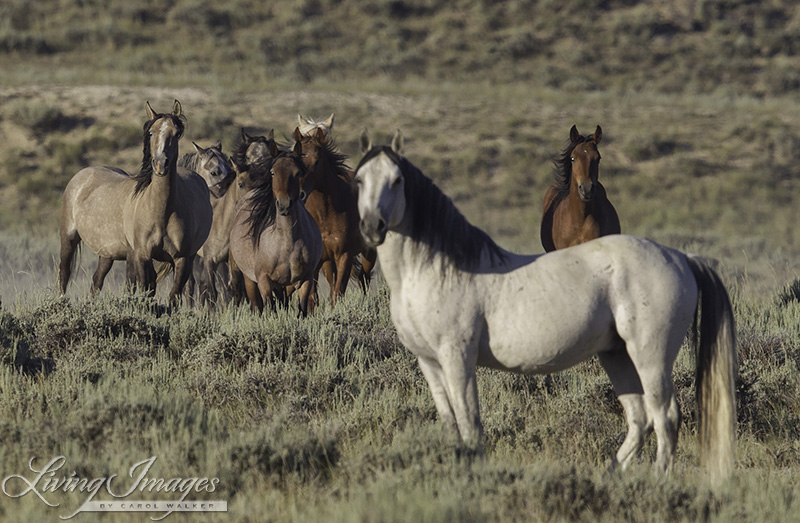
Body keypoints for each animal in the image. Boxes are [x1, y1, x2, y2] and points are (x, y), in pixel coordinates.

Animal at [58, 100, 212, 302]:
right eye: (151, 132)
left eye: (177, 134)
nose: (160, 164)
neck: (160, 211)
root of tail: (82, 175)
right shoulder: (141, 256)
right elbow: (143, 289)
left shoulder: (182, 259)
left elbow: (172, 296)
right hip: (68, 239)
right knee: (64, 275)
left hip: (107, 253)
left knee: (96, 281)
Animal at [228, 139, 322, 318]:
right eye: (272, 172)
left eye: (298, 173)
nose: (284, 205)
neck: (286, 243)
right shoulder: (264, 281)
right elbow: (269, 309)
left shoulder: (305, 280)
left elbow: (302, 310)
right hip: (249, 280)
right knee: (256, 306)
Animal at [296, 128, 378, 308]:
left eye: (317, 161)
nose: (300, 193)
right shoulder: (317, 262)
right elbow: (313, 298)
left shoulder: (344, 256)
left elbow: (338, 293)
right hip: (328, 262)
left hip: (369, 252)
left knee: (363, 279)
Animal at [356, 130, 736, 484]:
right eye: (359, 179)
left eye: (397, 180)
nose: (372, 227)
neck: (435, 269)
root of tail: (680, 258)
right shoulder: (430, 362)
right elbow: (451, 425)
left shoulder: (457, 358)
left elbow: (469, 423)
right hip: (617, 356)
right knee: (639, 418)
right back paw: (609, 476)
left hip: (650, 357)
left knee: (665, 416)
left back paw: (657, 483)